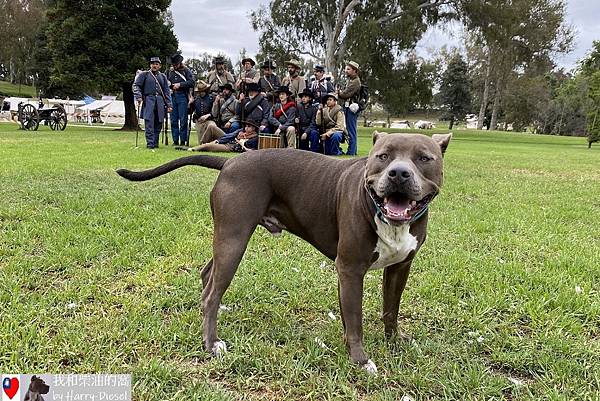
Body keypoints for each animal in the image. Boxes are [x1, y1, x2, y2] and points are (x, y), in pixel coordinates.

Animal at [116, 130, 450, 372]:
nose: (398, 174)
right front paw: (360, 359)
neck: (387, 217)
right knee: (212, 291)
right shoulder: (350, 269)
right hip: (234, 238)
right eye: (382, 156)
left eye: (424, 158)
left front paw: (395, 341)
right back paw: (211, 343)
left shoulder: (400, 268)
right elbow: (354, 320)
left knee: (208, 274)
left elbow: (390, 308)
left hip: (228, 238)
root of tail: (230, 162)